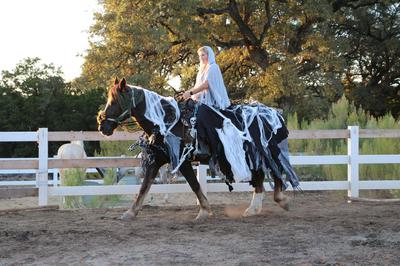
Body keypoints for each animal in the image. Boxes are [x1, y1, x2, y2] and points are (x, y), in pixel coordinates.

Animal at [96, 77, 296, 220]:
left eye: (115, 101)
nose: (102, 126)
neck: (167, 121)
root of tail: (274, 113)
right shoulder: (157, 160)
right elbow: (144, 187)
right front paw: (130, 212)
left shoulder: (182, 161)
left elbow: (194, 184)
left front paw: (204, 211)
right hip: (253, 156)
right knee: (260, 178)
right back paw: (254, 208)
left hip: (267, 153)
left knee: (275, 173)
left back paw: (281, 201)